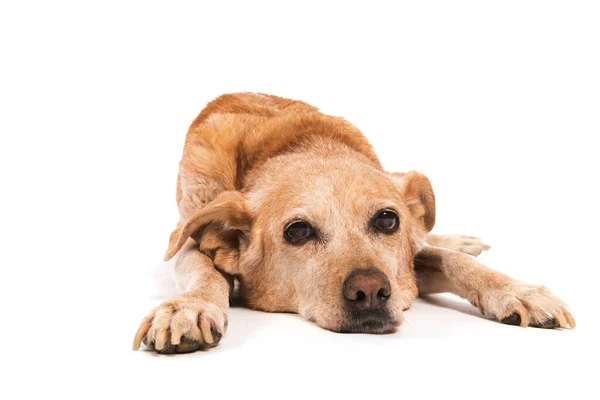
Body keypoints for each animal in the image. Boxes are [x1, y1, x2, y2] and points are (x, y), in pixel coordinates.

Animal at [132, 93, 576, 354]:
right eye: (298, 231)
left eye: (387, 220)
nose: (371, 291)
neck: (300, 146)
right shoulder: (192, 243)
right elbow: (202, 269)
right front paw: (189, 307)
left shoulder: (407, 262)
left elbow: (450, 260)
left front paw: (518, 290)